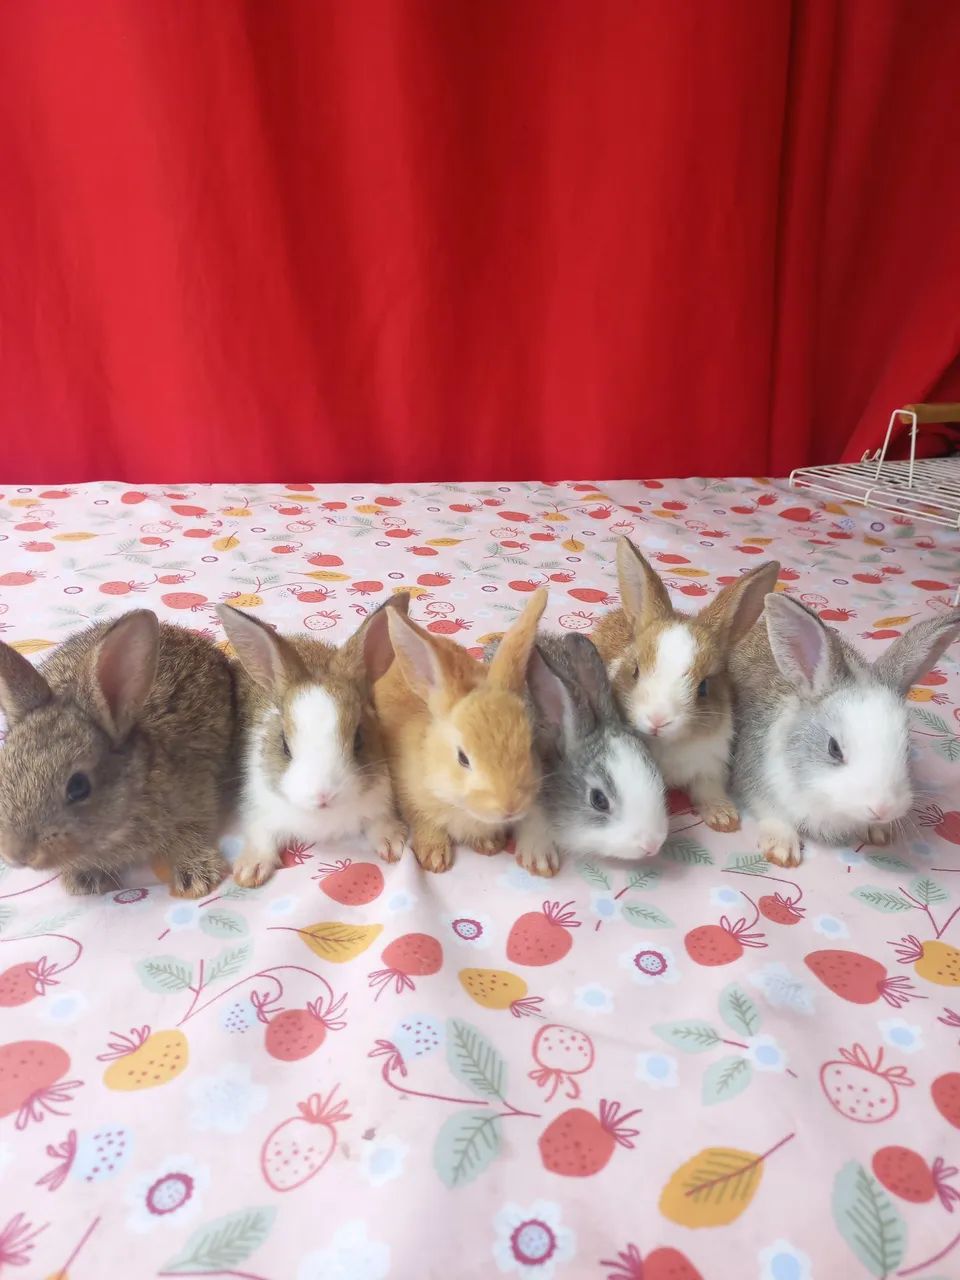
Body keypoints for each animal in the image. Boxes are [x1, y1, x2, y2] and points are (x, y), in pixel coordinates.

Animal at [0, 610, 239, 897]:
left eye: (78, 787)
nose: (16, 854)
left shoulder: (195, 799)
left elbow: (190, 835)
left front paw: (197, 876)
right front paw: (84, 880)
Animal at [217, 594, 409, 888]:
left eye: (358, 739)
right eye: (284, 746)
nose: (323, 795)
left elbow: (379, 820)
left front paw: (392, 843)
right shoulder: (260, 809)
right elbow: (262, 835)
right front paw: (250, 870)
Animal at [374, 588, 552, 875]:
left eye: (529, 746)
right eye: (463, 759)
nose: (510, 807)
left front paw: (489, 844)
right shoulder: (411, 798)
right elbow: (426, 824)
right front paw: (434, 857)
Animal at [592, 536, 779, 833]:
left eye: (703, 687)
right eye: (635, 671)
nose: (658, 720)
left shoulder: (711, 765)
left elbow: (708, 789)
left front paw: (724, 818)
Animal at [730, 593, 960, 867]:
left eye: (906, 748)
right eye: (834, 749)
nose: (882, 809)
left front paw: (879, 832)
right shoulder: (755, 776)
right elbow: (772, 815)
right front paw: (782, 850)